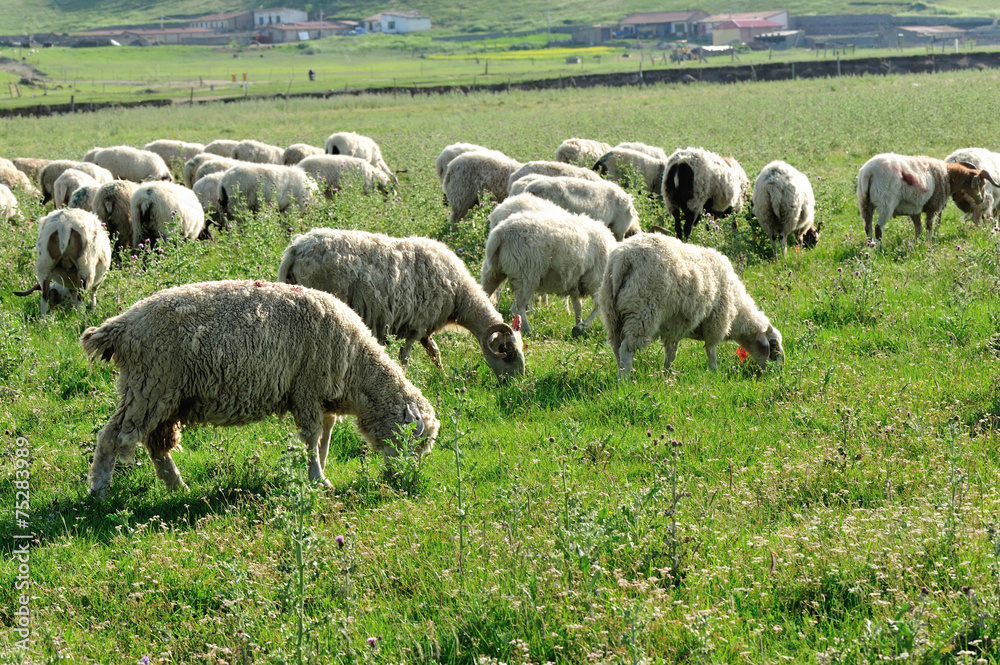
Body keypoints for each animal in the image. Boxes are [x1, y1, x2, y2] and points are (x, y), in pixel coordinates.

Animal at [81, 279, 440, 497]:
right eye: (415, 440)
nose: (403, 480)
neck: (357, 366)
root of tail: (123, 325)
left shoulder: (322, 399)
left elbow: (324, 440)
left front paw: (321, 474)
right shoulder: (306, 391)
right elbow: (311, 440)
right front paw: (317, 478)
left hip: (162, 395)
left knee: (157, 445)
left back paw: (177, 486)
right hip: (150, 386)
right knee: (112, 437)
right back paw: (98, 491)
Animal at [277, 228, 525, 379]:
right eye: (507, 351)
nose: (516, 383)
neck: (460, 295)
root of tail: (295, 248)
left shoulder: (424, 329)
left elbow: (435, 353)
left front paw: (443, 377)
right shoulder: (416, 326)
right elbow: (405, 358)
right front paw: (405, 377)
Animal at [481, 210, 615, 337]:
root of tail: (500, 233)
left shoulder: (575, 284)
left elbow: (578, 306)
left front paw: (578, 325)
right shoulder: (596, 280)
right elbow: (598, 306)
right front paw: (581, 326)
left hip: (493, 272)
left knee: (484, 296)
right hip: (526, 274)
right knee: (517, 307)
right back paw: (527, 330)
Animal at [599, 233, 784, 378]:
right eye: (773, 346)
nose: (779, 373)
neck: (738, 312)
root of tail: (624, 259)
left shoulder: (673, 327)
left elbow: (671, 353)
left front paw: (666, 373)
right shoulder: (716, 322)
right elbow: (711, 350)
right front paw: (714, 372)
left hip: (612, 313)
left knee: (616, 346)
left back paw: (623, 371)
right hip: (642, 311)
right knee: (626, 348)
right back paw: (624, 380)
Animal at [857, 153, 1000, 241]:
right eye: (981, 183)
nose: (981, 200)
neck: (948, 177)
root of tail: (869, 172)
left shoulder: (914, 209)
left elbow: (918, 229)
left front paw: (917, 242)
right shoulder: (933, 207)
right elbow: (929, 228)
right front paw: (928, 242)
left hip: (865, 203)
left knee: (867, 227)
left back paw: (870, 247)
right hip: (885, 203)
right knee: (878, 228)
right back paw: (879, 248)